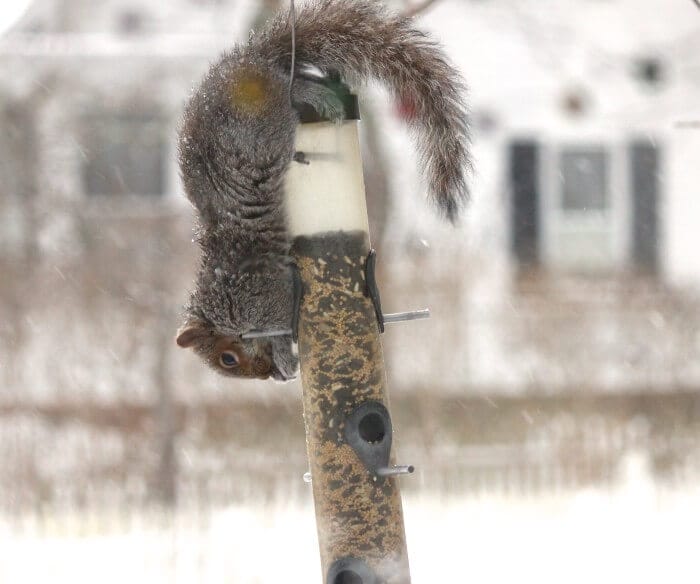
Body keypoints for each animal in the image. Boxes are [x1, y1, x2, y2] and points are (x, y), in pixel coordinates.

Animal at [175, 0, 470, 382]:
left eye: (228, 358)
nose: (269, 377)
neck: (225, 297)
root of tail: (251, 58)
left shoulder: (265, 293)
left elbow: (282, 321)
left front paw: (286, 358)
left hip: (265, 112)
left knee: (292, 86)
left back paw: (314, 95)